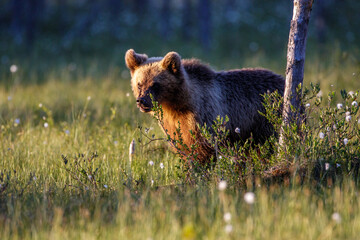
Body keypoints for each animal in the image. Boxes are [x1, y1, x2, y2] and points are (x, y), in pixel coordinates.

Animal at [125, 49, 286, 164]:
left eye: (155, 85)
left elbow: (203, 150)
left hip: (265, 119)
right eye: (139, 84)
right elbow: (183, 147)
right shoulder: (173, 125)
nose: (141, 101)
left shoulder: (205, 117)